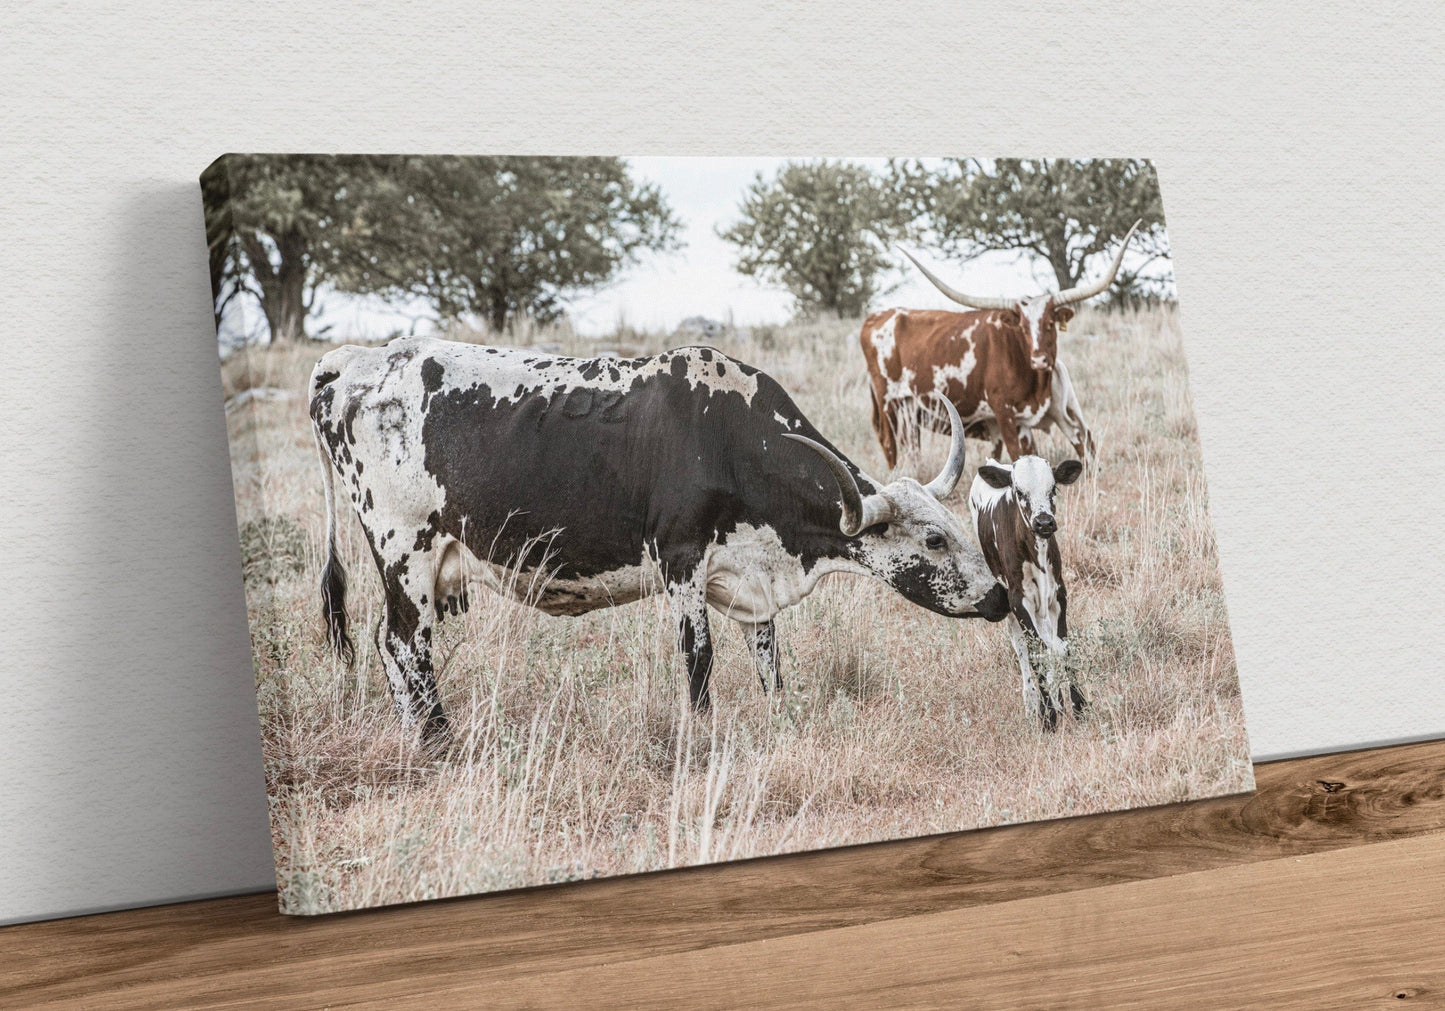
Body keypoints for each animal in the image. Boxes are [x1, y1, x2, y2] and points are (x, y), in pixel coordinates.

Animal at [308, 337, 1010, 755]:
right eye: (934, 538)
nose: (1001, 595)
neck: (724, 432)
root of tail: (356, 361)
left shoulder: (750, 583)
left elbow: (769, 662)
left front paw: (780, 719)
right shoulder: (681, 561)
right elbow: (698, 659)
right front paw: (702, 736)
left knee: (392, 646)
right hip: (406, 553)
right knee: (408, 647)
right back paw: (439, 742)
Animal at [859, 221, 1140, 469]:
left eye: (1050, 323)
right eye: (1023, 328)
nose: (1039, 359)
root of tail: (876, 317)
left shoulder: (1025, 419)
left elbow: (1033, 452)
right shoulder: (1002, 410)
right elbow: (1016, 452)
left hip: (910, 409)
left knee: (911, 445)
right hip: (888, 403)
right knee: (890, 445)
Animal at [969, 455, 1085, 729]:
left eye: (1053, 489)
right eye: (1019, 492)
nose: (1043, 522)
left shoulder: (1058, 595)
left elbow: (1063, 648)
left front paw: (1077, 706)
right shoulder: (1018, 600)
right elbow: (1035, 653)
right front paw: (1048, 716)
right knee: (1021, 646)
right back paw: (1033, 701)